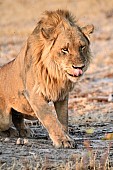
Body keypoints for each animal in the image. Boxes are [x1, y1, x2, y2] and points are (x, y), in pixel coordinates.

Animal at [0, 9, 93, 147]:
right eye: (65, 49)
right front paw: (63, 140)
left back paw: (24, 130)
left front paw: (66, 136)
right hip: (4, 119)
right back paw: (12, 132)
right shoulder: (34, 94)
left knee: (17, 117)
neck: (57, 74)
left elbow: (63, 119)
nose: (79, 67)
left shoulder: (62, 95)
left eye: (82, 47)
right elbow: (50, 118)